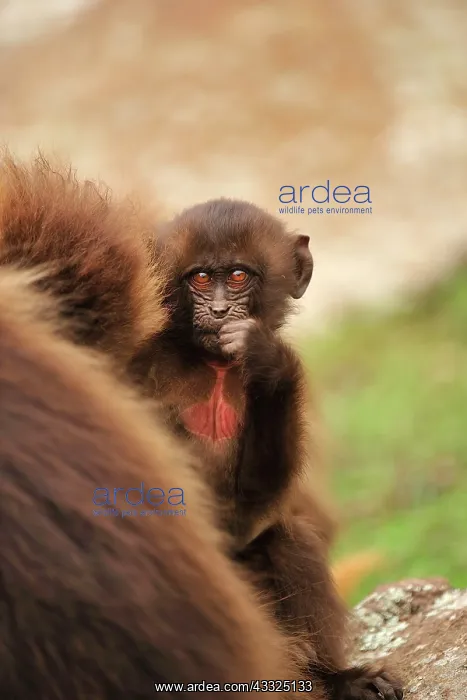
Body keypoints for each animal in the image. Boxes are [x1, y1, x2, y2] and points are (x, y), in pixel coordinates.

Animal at [129, 199, 404, 700]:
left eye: (239, 276)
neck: (213, 367)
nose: (220, 311)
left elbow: (249, 515)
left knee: (287, 539)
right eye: (200, 278)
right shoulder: (141, 365)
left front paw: (267, 362)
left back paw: (333, 678)